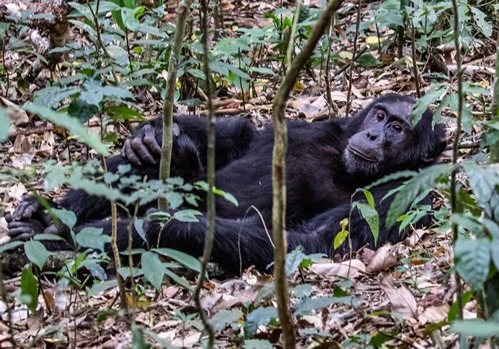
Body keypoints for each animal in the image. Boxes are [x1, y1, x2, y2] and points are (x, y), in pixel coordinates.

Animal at [5, 94, 448, 274]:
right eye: (378, 116)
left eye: (397, 129)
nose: (373, 135)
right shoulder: (322, 128)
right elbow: (243, 138)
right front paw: (150, 136)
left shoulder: (400, 199)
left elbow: (308, 242)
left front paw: (133, 229)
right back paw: (42, 218)